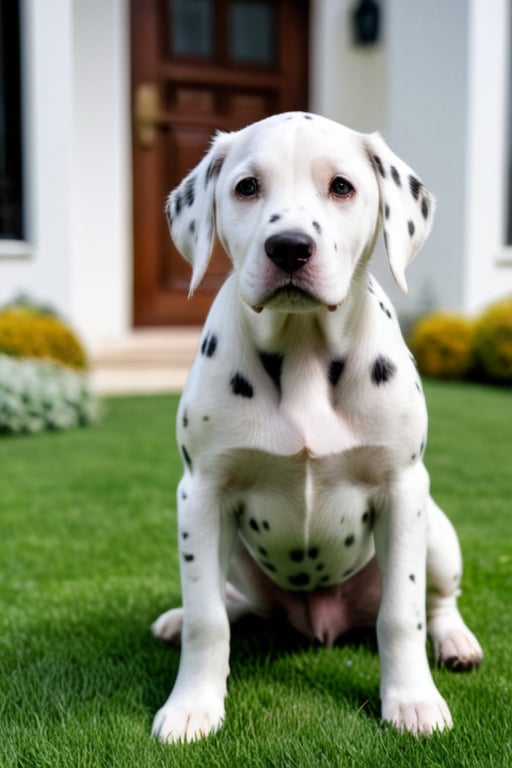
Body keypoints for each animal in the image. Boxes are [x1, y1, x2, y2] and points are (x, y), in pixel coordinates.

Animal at [150, 114, 482, 744]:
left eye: (342, 187)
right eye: (247, 187)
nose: (289, 248)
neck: (302, 346)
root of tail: (322, 624)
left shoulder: (403, 489)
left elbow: (401, 614)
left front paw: (412, 701)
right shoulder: (199, 493)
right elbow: (209, 618)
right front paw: (192, 705)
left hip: (437, 529)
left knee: (437, 600)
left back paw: (455, 640)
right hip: (236, 555)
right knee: (232, 603)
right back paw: (178, 619)